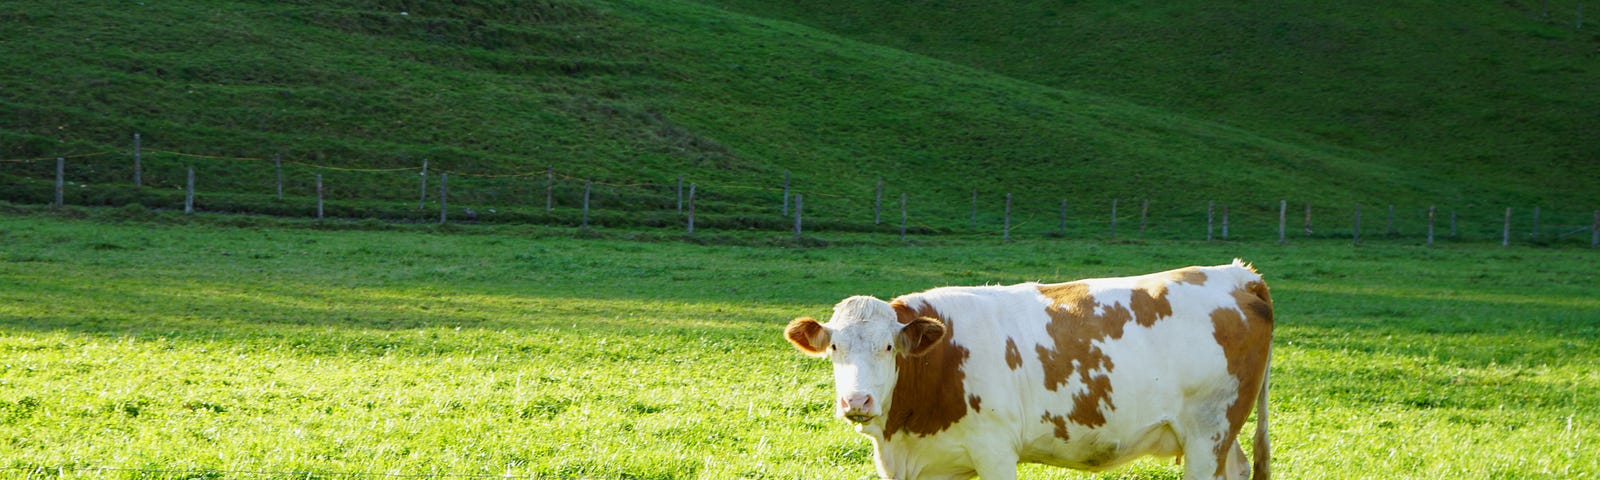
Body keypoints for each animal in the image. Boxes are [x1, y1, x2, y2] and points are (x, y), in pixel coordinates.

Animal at [780, 262, 1267, 480]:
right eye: (835, 347)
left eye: (887, 347)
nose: (856, 401)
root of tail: (1239, 275)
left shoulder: (995, 451)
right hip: (1220, 435)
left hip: (1208, 431)